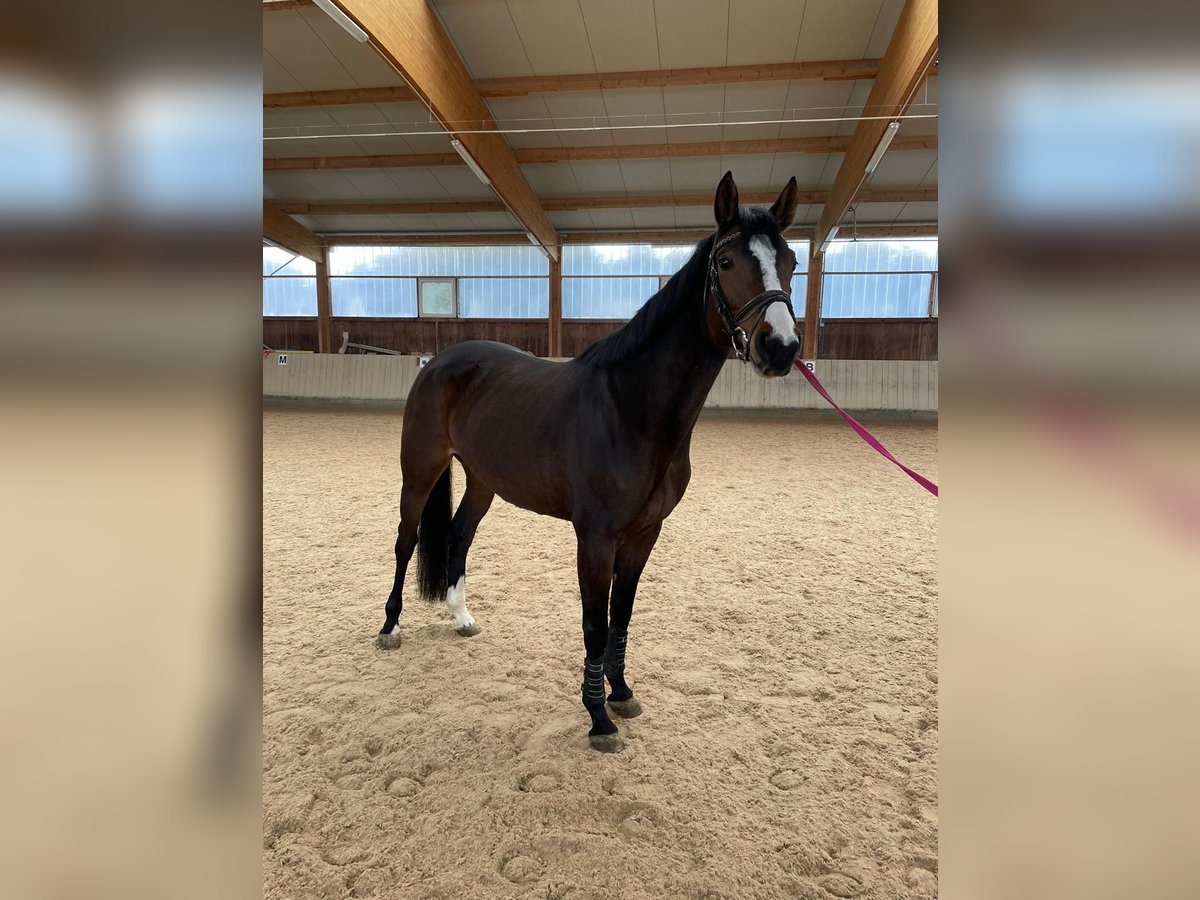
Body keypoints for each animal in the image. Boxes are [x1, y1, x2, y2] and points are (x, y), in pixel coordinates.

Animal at [377, 171, 803, 752]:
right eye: (726, 261)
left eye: (791, 262)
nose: (779, 346)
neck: (630, 407)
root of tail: (438, 361)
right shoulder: (596, 537)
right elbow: (595, 625)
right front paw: (598, 718)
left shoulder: (644, 534)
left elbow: (621, 618)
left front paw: (621, 694)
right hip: (420, 470)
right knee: (407, 538)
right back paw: (390, 628)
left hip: (484, 479)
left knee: (461, 533)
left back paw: (462, 616)